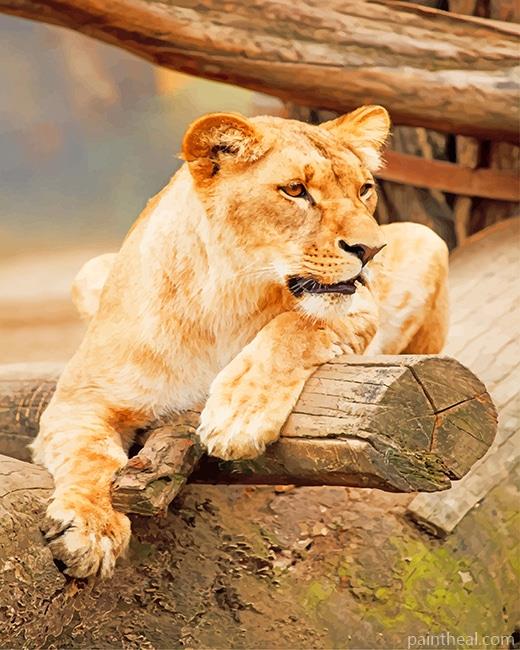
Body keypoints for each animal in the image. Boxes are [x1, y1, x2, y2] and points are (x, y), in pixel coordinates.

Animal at [32, 106, 448, 578]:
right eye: (295, 190)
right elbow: (90, 457)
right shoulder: (80, 400)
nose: (373, 250)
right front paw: (90, 528)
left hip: (426, 237)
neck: (227, 300)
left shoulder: (358, 310)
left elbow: (295, 325)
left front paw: (237, 417)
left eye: (364, 189)